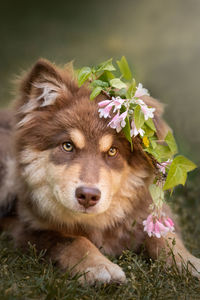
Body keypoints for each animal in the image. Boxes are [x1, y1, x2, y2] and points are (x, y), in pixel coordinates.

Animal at [0, 58, 200, 284]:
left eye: (112, 151)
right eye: (67, 146)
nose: (88, 196)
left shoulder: (146, 212)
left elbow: (165, 237)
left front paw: (189, 262)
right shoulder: (29, 228)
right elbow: (71, 240)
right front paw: (99, 266)